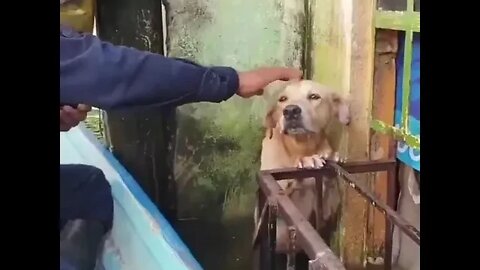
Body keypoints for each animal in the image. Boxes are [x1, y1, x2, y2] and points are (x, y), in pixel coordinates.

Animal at [253, 79, 350, 254]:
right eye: (282, 99)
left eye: (314, 96)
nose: (290, 111)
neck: (301, 146)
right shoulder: (270, 198)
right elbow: (282, 185)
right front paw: (306, 161)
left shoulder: (327, 209)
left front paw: (330, 157)